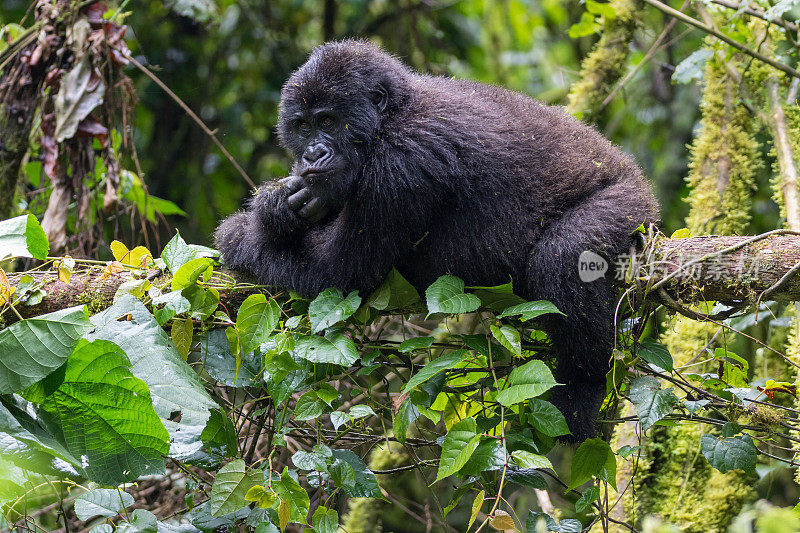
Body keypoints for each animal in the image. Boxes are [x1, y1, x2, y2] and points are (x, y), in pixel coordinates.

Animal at [216, 40, 660, 440]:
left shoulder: (400, 165)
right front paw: (276, 206)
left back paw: (583, 389)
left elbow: (339, 275)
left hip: (629, 204)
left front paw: (243, 233)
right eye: (303, 126)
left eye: (327, 122)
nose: (311, 156)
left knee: (564, 256)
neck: (392, 115)